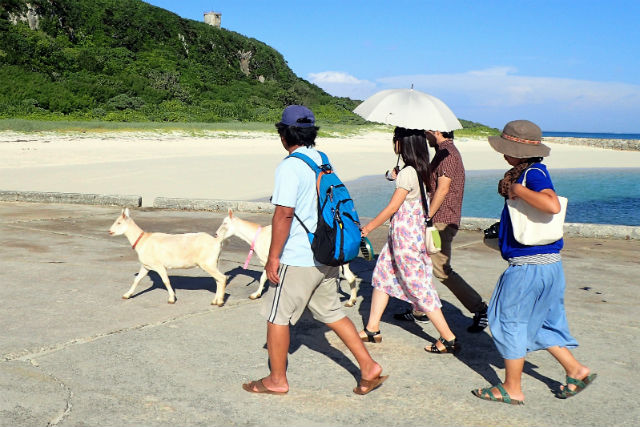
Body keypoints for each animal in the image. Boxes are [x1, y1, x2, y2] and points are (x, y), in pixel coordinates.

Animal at [214, 209, 360, 306]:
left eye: (225, 223)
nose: (216, 234)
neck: (258, 236)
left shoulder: (268, 260)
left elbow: (263, 278)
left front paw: (257, 294)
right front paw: (258, 294)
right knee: (350, 277)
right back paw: (351, 300)